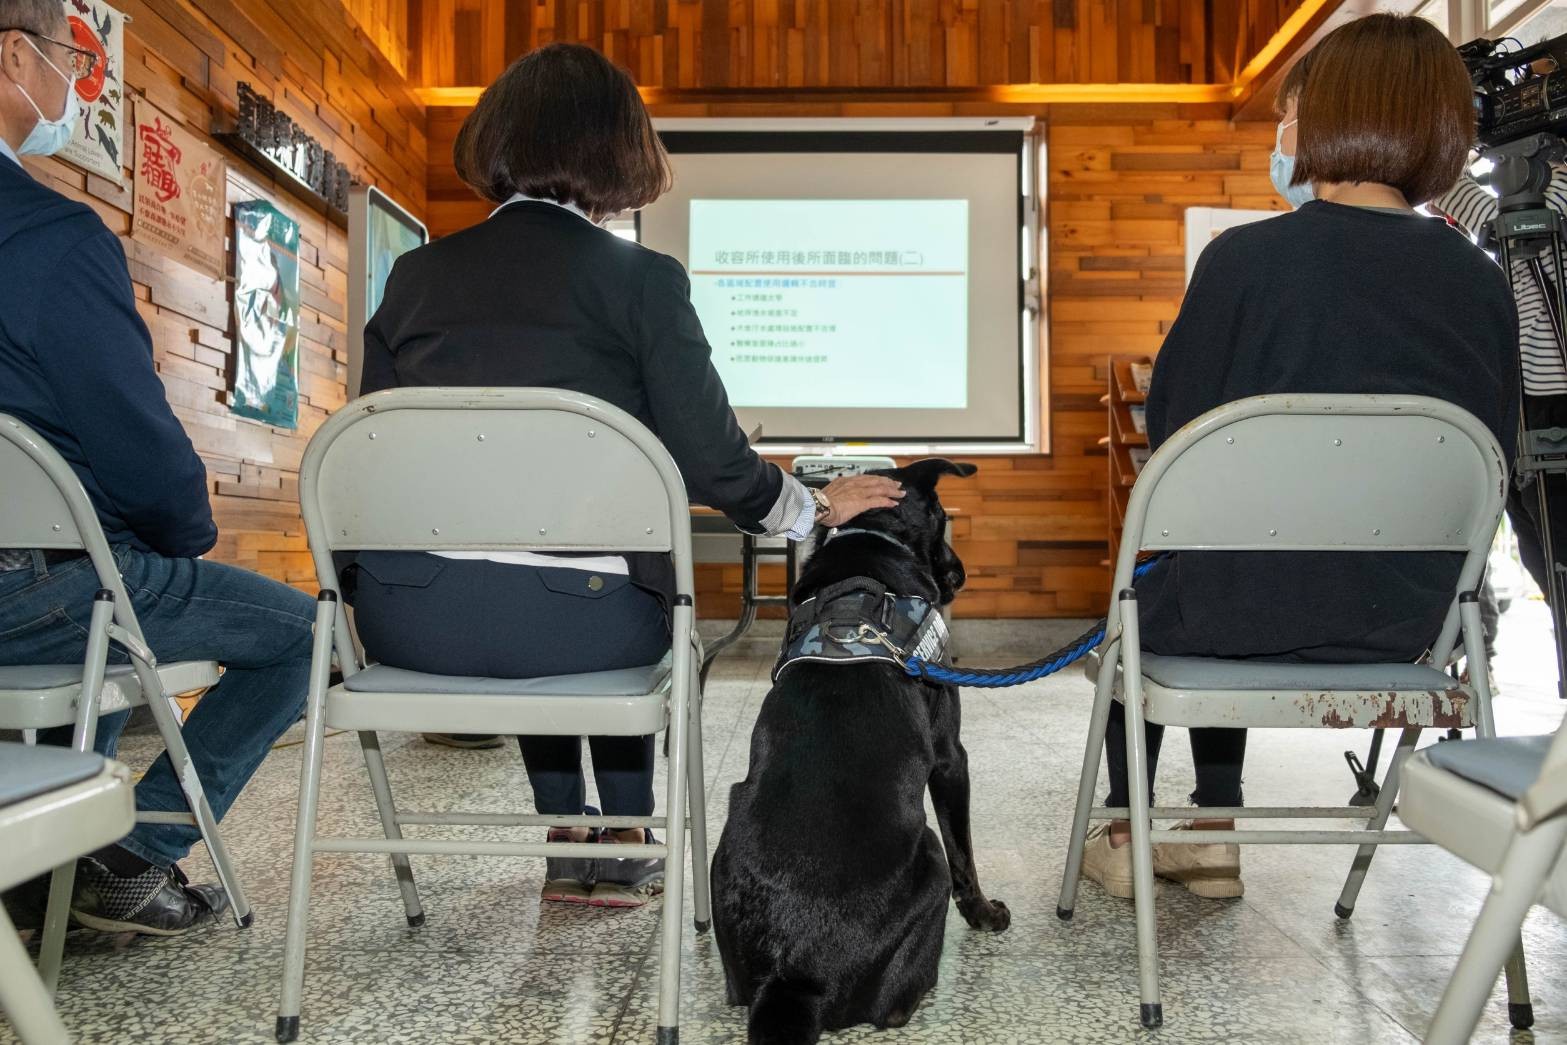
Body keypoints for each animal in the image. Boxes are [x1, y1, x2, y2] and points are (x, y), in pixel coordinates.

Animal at [714, 460, 1009, 1045]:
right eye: (944, 521)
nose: (960, 576)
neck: (871, 536)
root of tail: (792, 977)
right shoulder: (951, 758)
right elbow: (965, 853)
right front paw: (985, 914)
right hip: (929, 859)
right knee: (894, 1003)